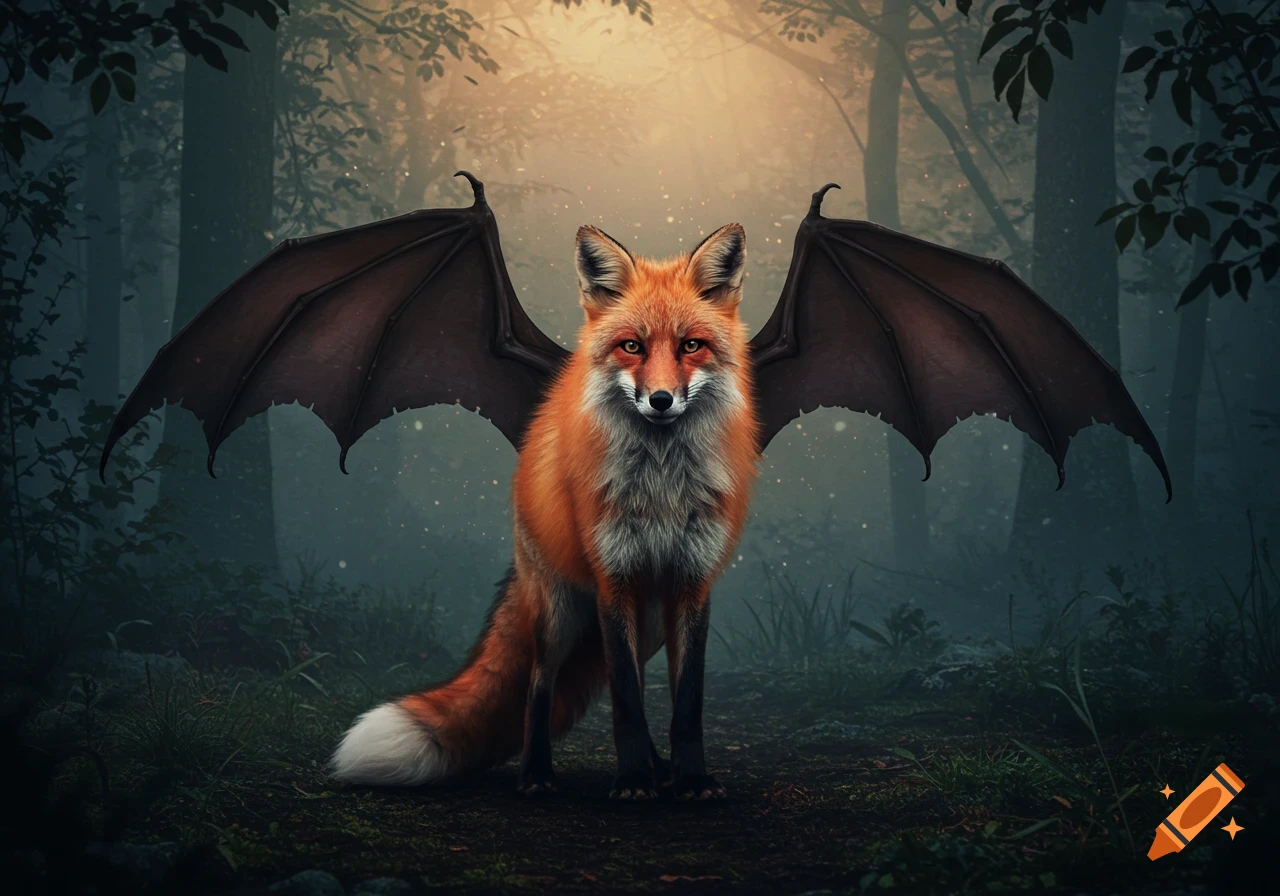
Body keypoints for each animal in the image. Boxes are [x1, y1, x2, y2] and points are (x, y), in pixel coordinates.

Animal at [331, 222, 760, 800]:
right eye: (631, 346)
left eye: (691, 345)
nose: (661, 400)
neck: (660, 493)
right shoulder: (612, 581)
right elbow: (626, 699)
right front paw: (632, 782)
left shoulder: (692, 582)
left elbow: (686, 701)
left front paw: (691, 779)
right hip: (560, 613)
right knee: (538, 684)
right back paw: (537, 774)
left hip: (647, 620)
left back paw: (660, 769)